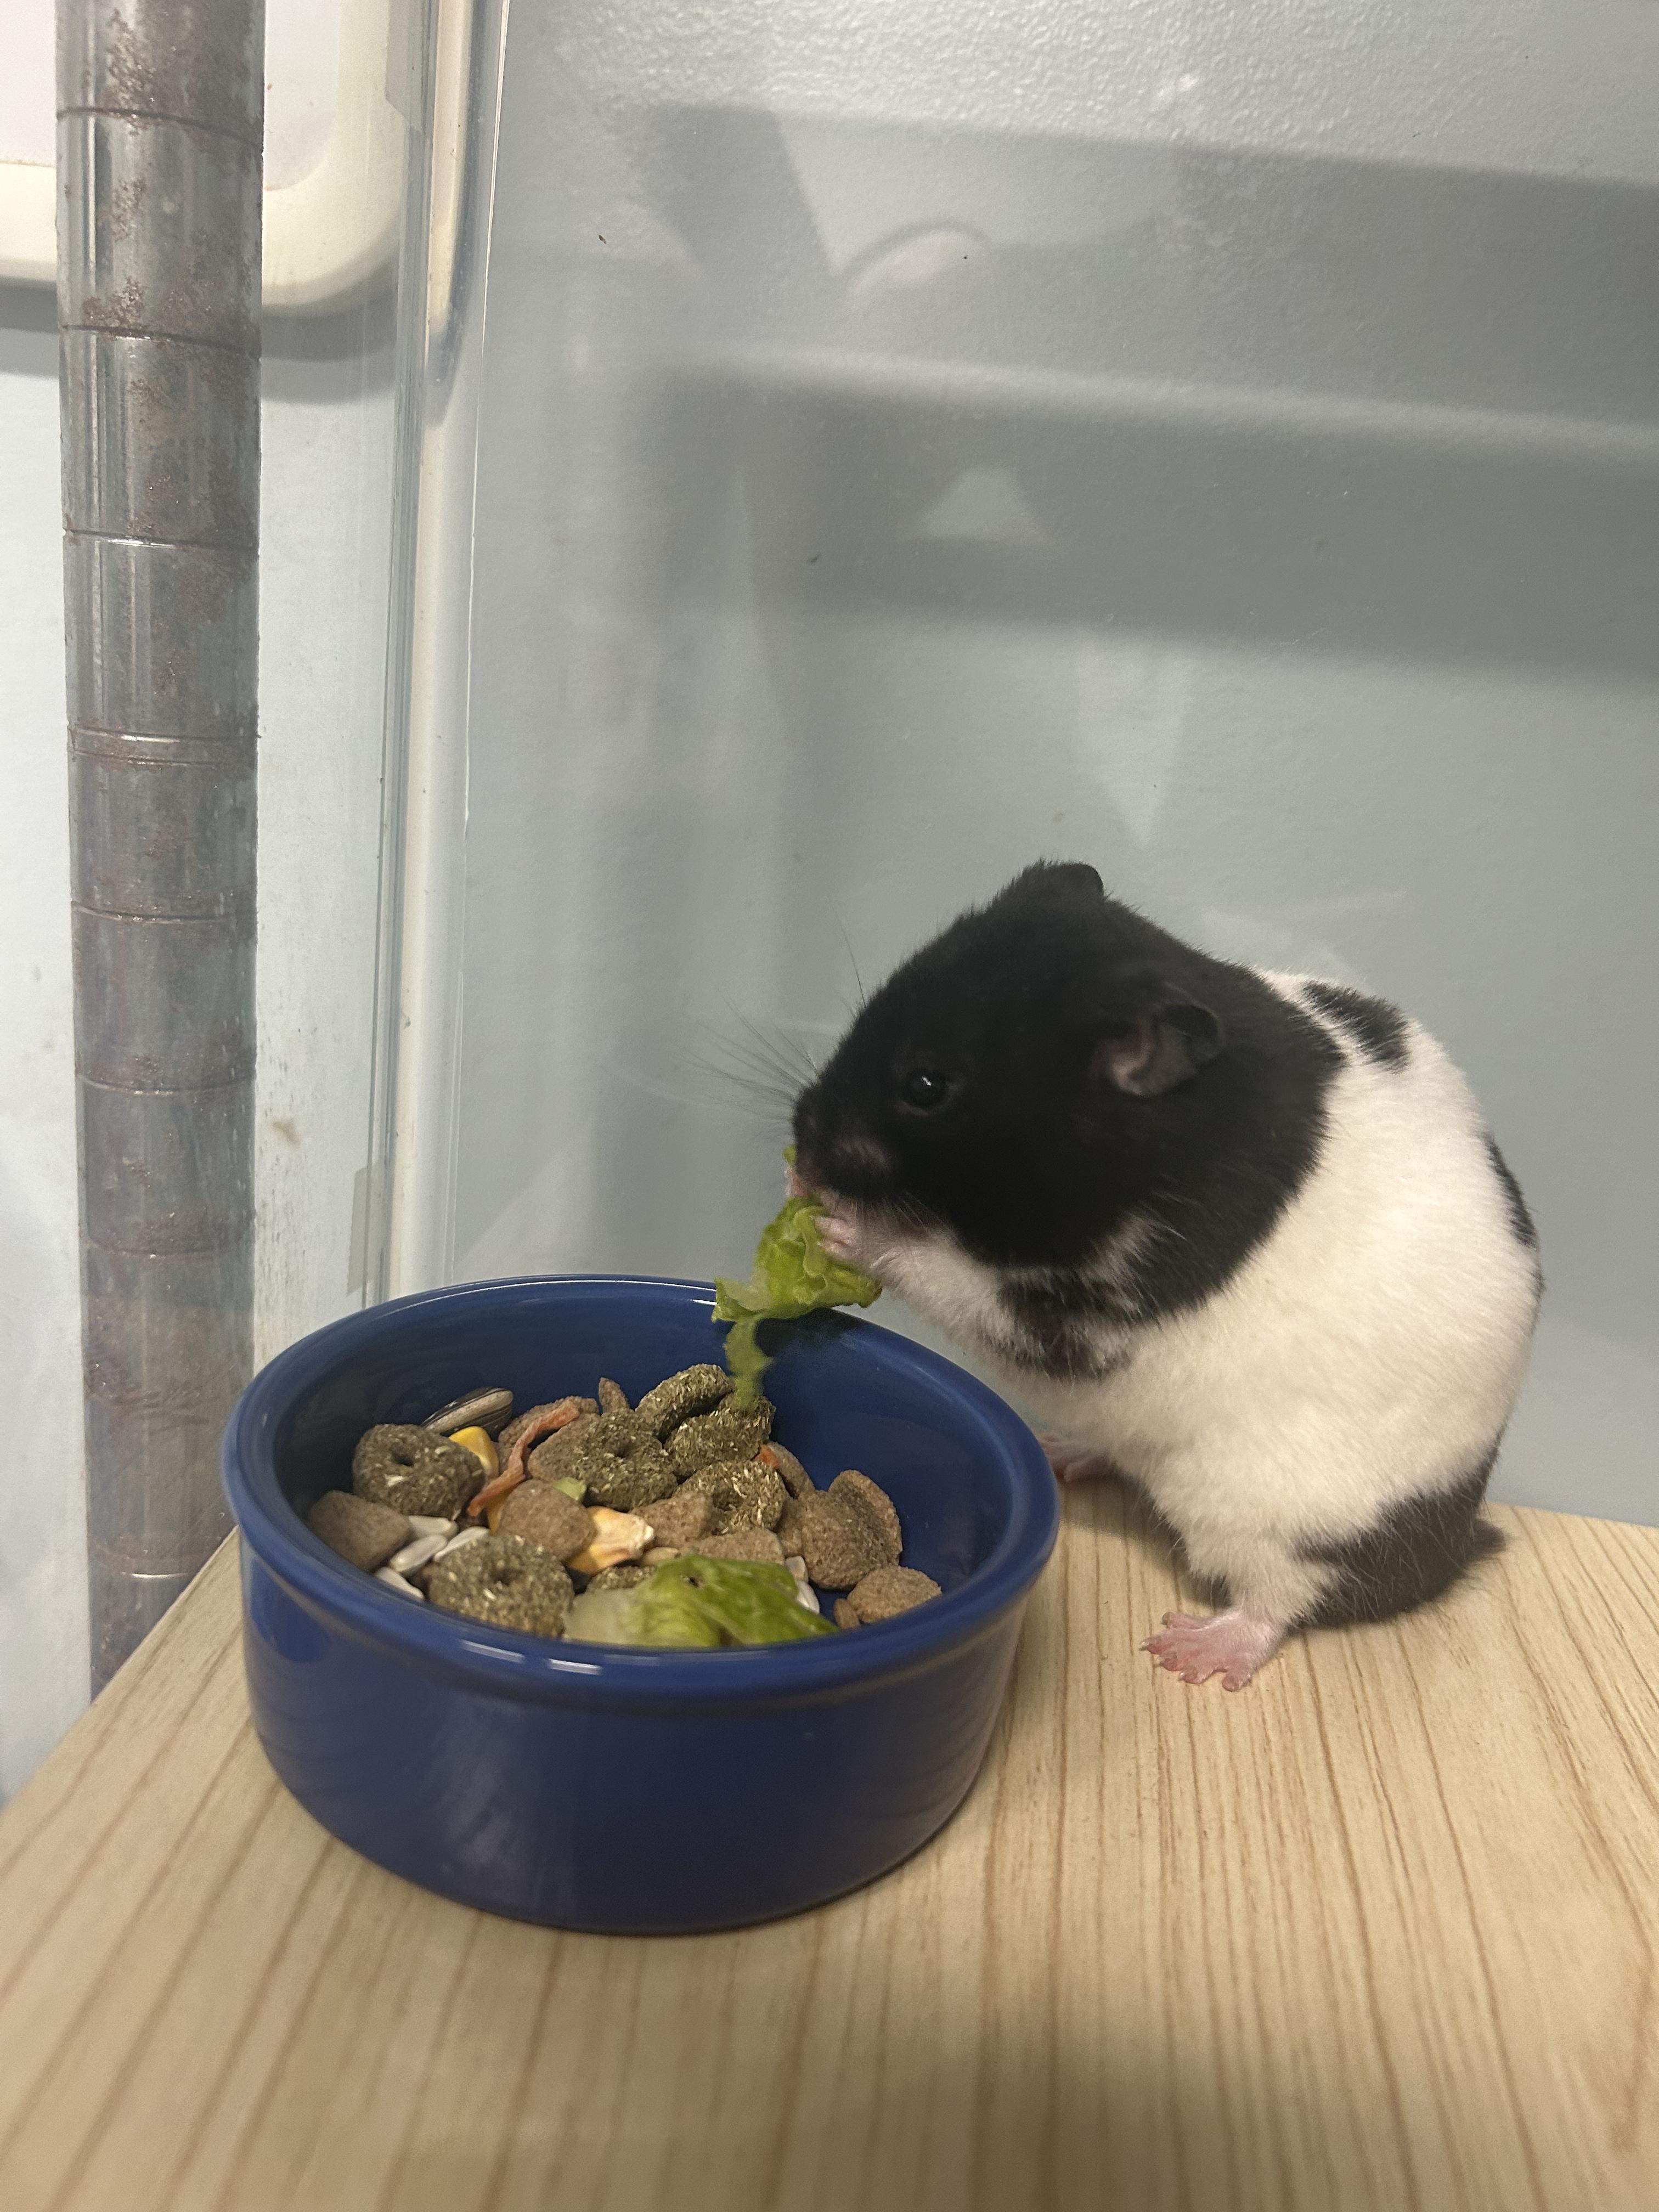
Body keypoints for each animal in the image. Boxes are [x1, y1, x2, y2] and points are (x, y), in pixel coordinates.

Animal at [790, 861, 1542, 1689]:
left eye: (926, 1087)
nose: (801, 1139)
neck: (1165, 1143)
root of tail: (1454, 1544)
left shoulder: (1074, 1317)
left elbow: (940, 1272)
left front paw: (835, 1225)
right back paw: (1064, 1455)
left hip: (1276, 1520)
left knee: (1285, 1598)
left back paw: (1189, 1651)